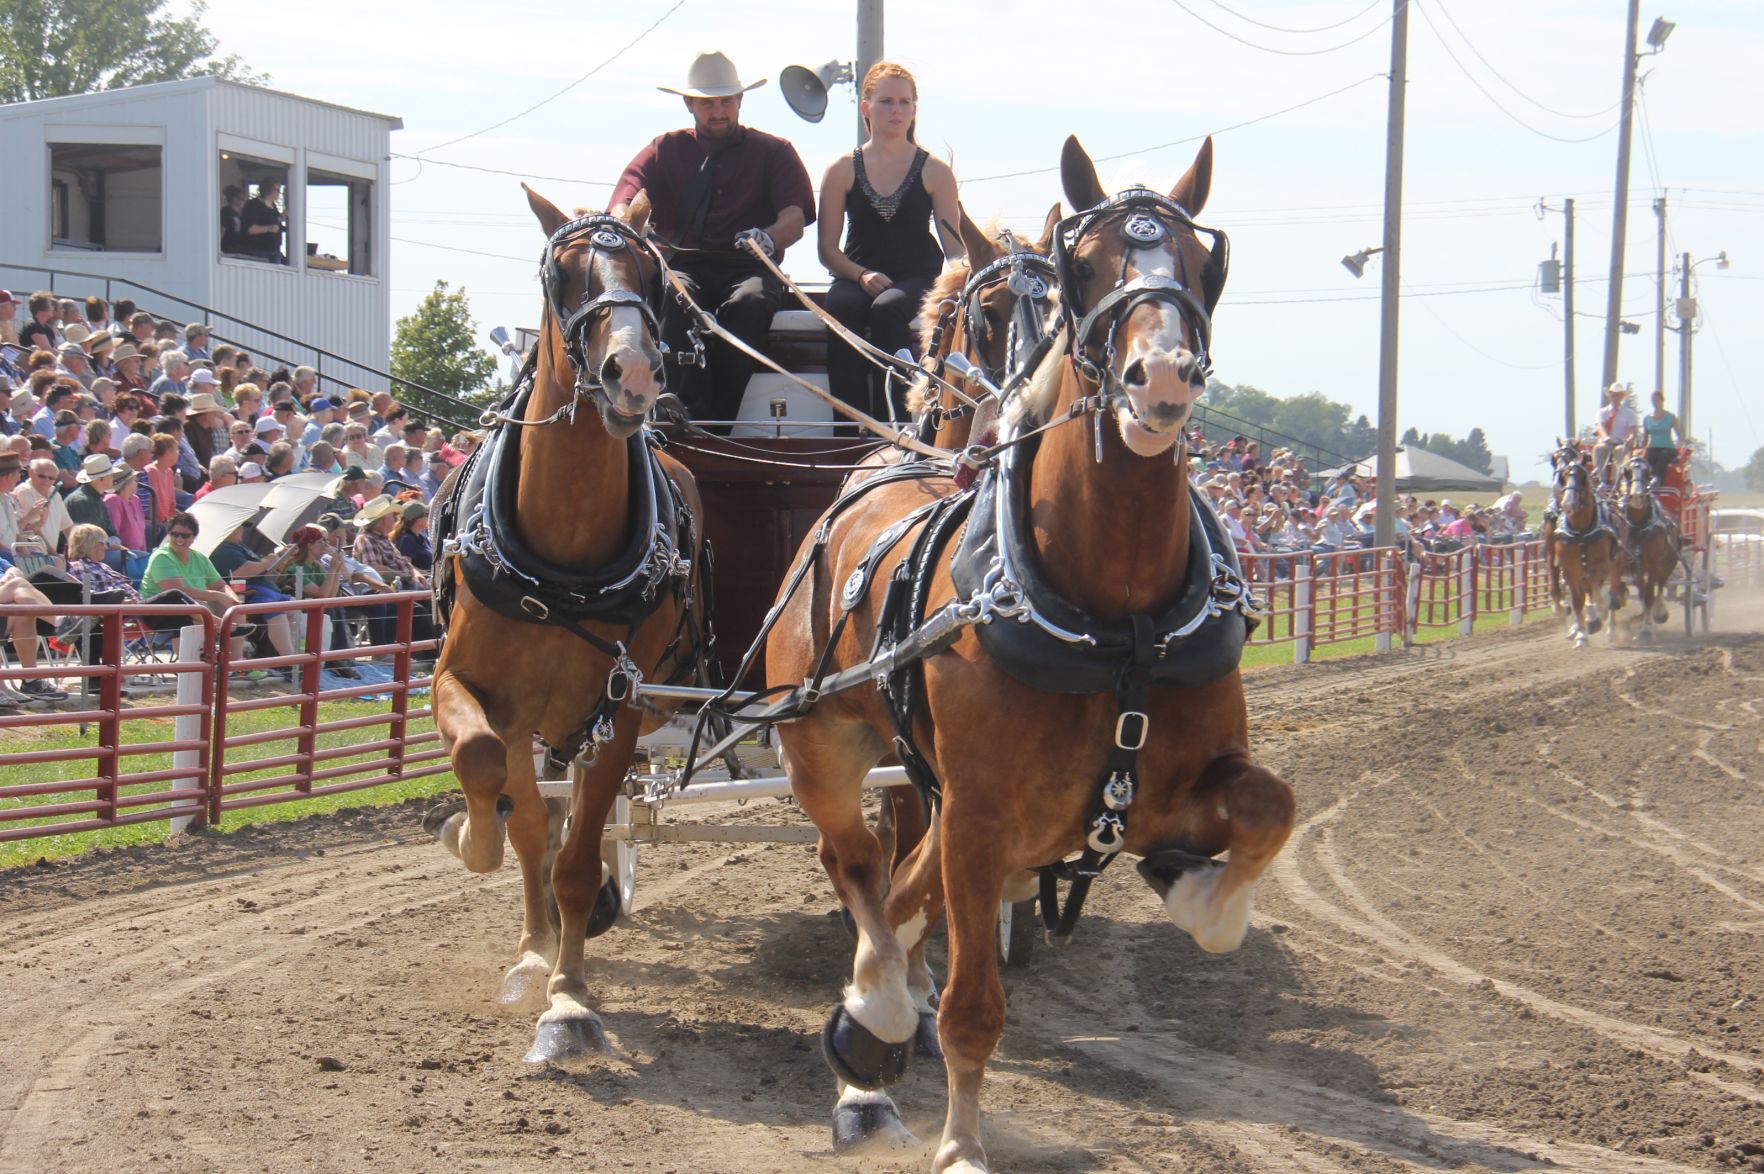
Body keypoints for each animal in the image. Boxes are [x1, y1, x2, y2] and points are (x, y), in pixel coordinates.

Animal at [430, 185, 705, 1057]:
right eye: (561, 275)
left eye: (653, 275)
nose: (634, 372)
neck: (564, 556)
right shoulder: (472, 691)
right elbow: (488, 775)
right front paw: (472, 842)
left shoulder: (620, 706)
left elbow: (581, 860)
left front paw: (570, 999)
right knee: (532, 817)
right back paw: (528, 938)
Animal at [765, 134, 1291, 1163]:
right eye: (1085, 268)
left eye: (1203, 263)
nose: (1162, 377)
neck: (1117, 621)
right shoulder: (978, 813)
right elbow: (970, 1005)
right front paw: (960, 1143)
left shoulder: (1182, 777)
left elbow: (1267, 811)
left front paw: (1198, 892)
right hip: (824, 745)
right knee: (857, 865)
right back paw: (875, 1011)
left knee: (899, 883)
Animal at [1545, 444, 1622, 648]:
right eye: (1554, 461)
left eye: (1582, 476)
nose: (1567, 502)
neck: (1580, 530)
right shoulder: (1564, 564)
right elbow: (1575, 598)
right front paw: (1581, 634)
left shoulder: (1601, 566)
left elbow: (1594, 590)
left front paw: (1594, 616)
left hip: (1617, 565)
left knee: (1612, 593)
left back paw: (1610, 628)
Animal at [1615, 458, 1679, 641]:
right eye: (1628, 472)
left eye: (1647, 472)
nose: (1636, 496)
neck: (1638, 526)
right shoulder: (1631, 564)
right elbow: (1642, 595)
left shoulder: (1652, 563)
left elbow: (1650, 594)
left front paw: (1646, 630)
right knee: (1644, 591)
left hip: (1669, 562)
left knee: (1661, 584)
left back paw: (1659, 612)